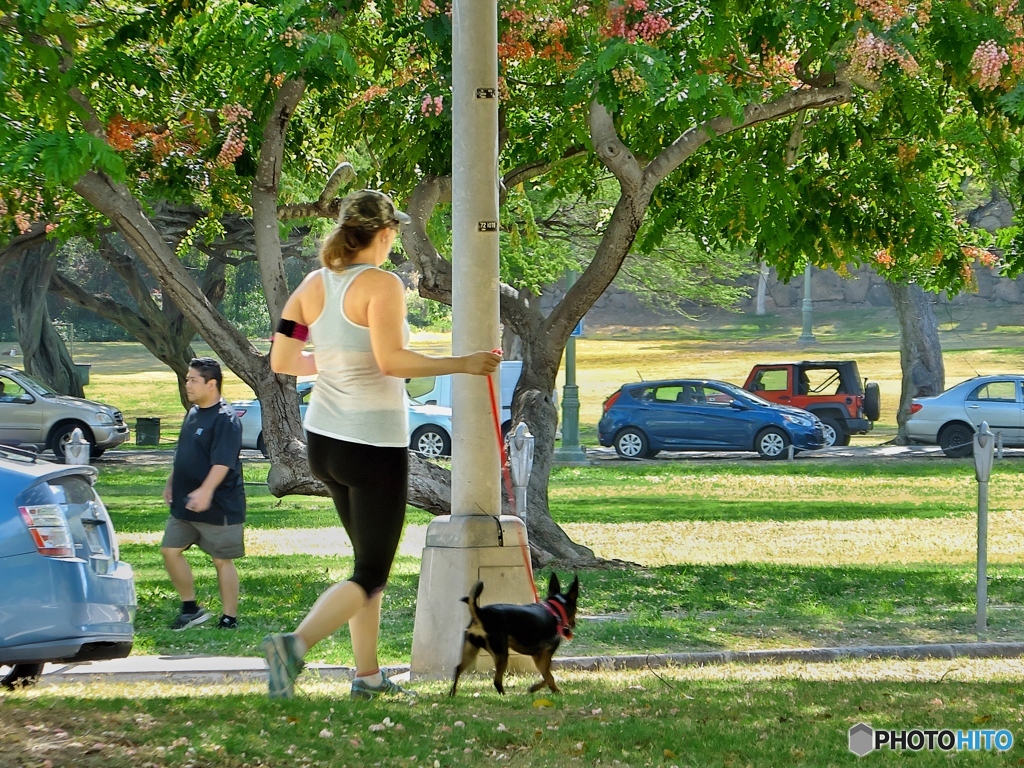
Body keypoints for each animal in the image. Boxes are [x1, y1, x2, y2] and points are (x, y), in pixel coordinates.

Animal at [452, 577, 581, 696]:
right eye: (575, 609)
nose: (574, 624)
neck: (555, 611)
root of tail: (480, 613)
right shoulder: (545, 656)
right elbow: (548, 676)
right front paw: (553, 690)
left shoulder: (537, 657)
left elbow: (547, 676)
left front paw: (538, 688)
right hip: (501, 654)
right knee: (497, 681)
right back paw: (505, 696)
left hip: (470, 650)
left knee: (457, 669)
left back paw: (452, 694)